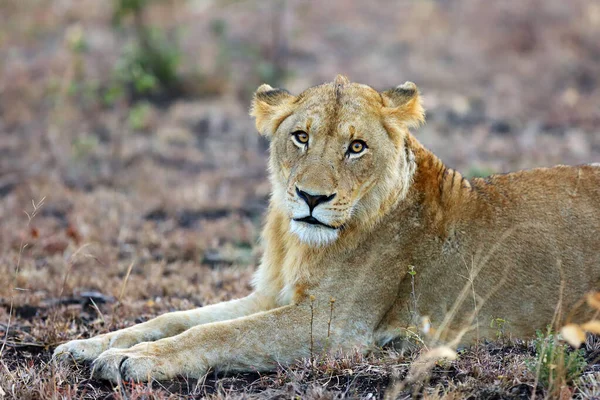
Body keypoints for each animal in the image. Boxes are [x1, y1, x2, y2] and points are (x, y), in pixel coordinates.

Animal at [52, 73, 600, 382]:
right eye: (300, 137)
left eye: (356, 147)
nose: (312, 198)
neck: (298, 244)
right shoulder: (269, 295)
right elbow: (176, 317)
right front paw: (89, 346)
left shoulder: (339, 325)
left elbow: (219, 334)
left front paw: (134, 360)